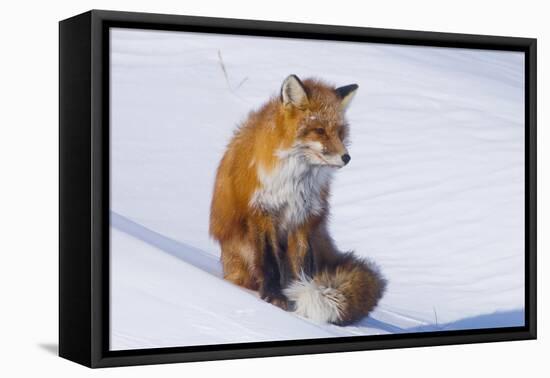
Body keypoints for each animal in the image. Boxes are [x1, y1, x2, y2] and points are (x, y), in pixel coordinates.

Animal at [209, 74, 386, 324]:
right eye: (319, 130)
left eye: (340, 132)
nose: (347, 157)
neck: (294, 180)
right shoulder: (263, 212)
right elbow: (269, 262)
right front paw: (274, 297)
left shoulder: (302, 218)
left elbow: (301, 268)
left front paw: (298, 296)